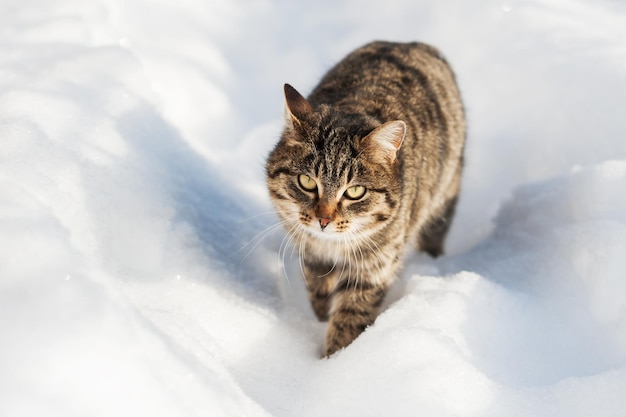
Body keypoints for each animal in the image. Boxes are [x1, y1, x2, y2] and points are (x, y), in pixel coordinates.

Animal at [264, 40, 464, 356]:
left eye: (355, 191)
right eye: (307, 182)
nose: (323, 220)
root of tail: (410, 43)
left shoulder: (373, 268)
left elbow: (349, 319)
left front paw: (335, 360)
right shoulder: (309, 249)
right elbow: (317, 286)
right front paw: (320, 314)